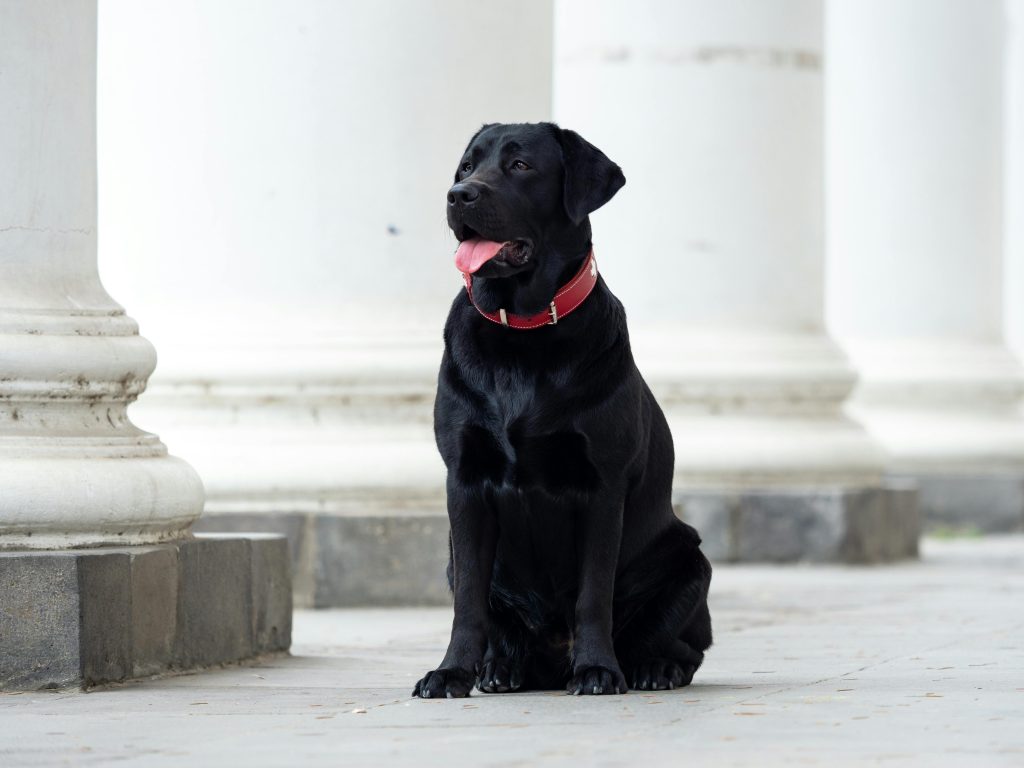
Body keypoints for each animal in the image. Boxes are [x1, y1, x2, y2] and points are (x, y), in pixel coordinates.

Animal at [409, 121, 712, 696]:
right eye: (467, 166)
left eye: (521, 165)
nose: (458, 195)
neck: (522, 334)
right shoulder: (464, 480)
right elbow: (469, 606)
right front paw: (451, 671)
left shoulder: (602, 485)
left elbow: (593, 594)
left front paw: (597, 669)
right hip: (455, 563)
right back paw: (499, 669)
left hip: (690, 559)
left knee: (682, 646)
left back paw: (651, 669)